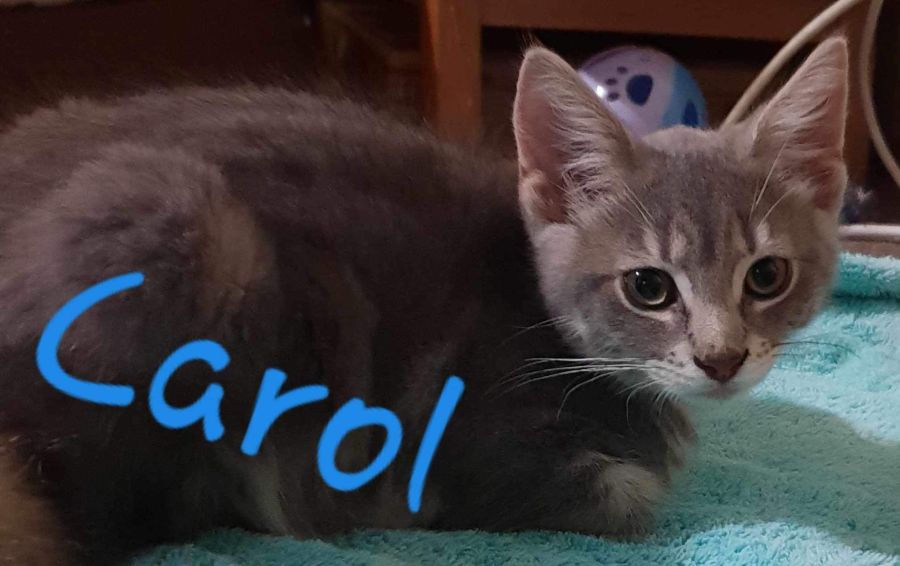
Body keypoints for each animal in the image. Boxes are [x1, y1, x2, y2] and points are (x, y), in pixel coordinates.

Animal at [0, 37, 848, 564]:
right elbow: (630, 494)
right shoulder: (463, 443)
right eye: (649, 287)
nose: (722, 358)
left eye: (766, 276)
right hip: (193, 226)